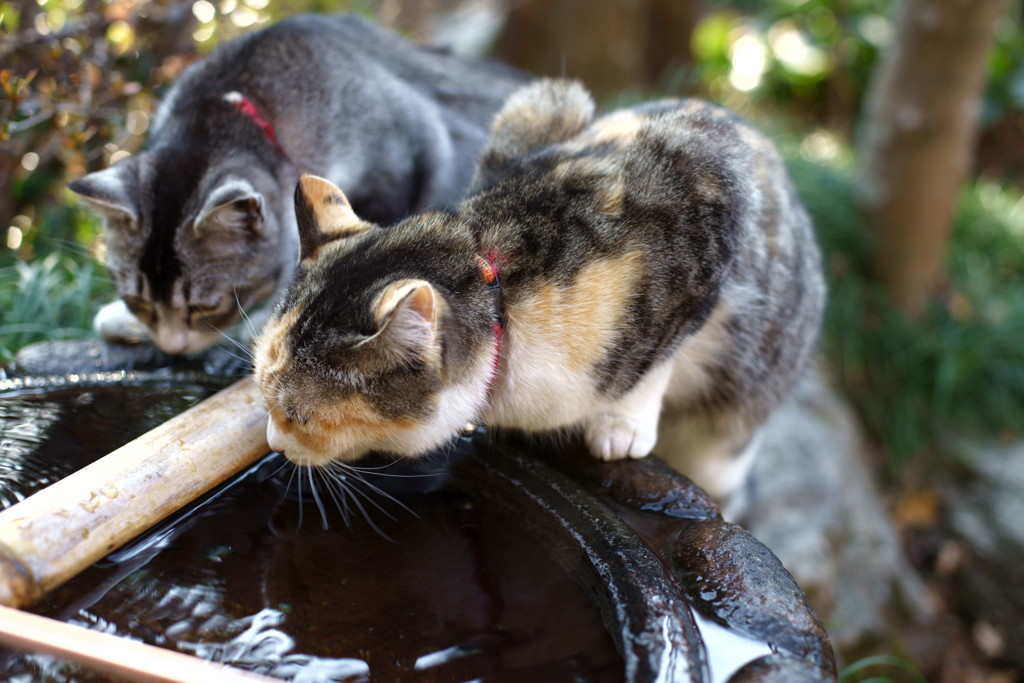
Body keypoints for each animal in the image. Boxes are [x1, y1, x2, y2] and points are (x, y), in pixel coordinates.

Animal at [251, 81, 827, 501]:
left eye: (299, 416)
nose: (273, 443)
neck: (504, 297)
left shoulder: (705, 176)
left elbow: (660, 351)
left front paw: (622, 425)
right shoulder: (541, 104)